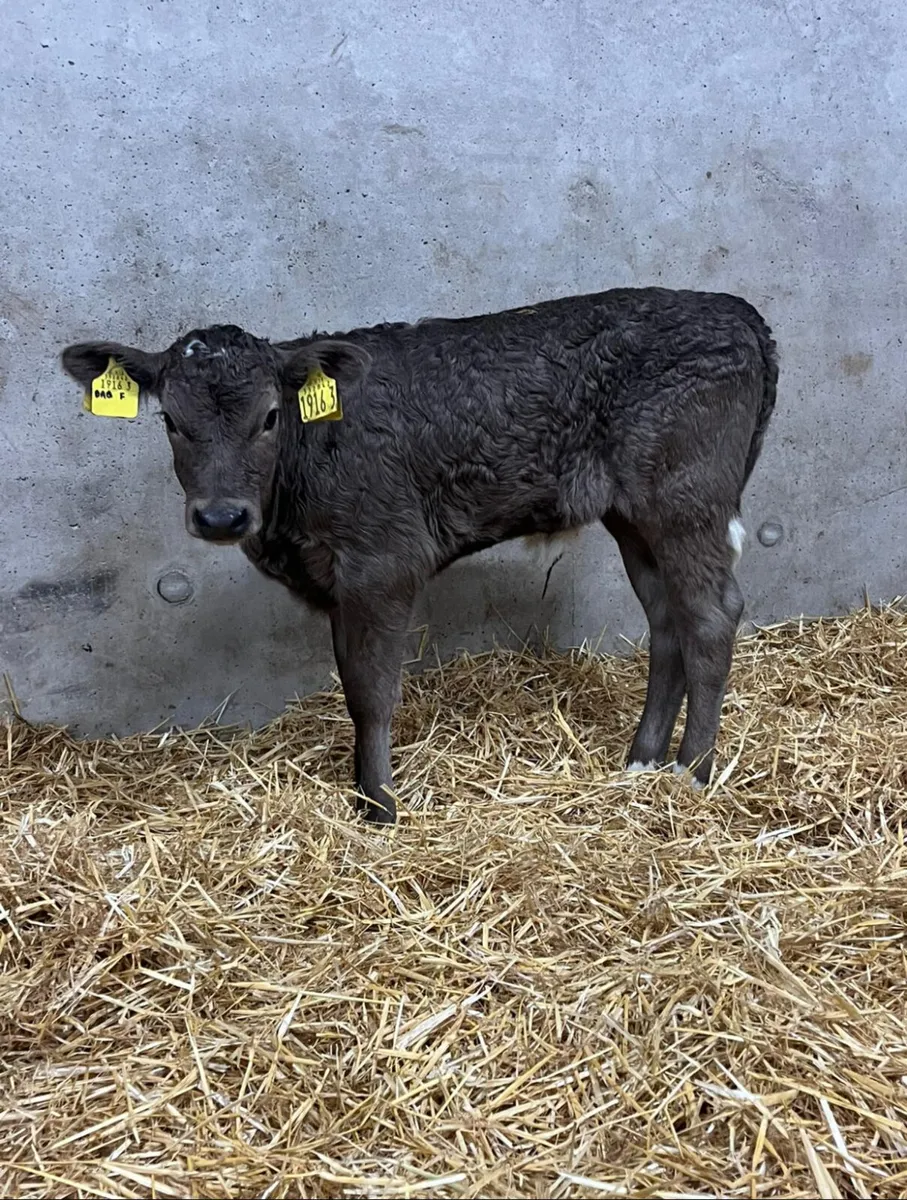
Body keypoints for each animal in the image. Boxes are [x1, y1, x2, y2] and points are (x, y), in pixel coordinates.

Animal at [62, 287, 778, 824]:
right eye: (171, 421)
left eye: (269, 417)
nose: (220, 516)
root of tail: (735, 309)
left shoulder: (383, 564)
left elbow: (370, 692)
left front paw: (379, 807)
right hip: (634, 515)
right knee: (668, 620)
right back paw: (641, 761)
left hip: (686, 500)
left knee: (711, 616)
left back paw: (693, 773)